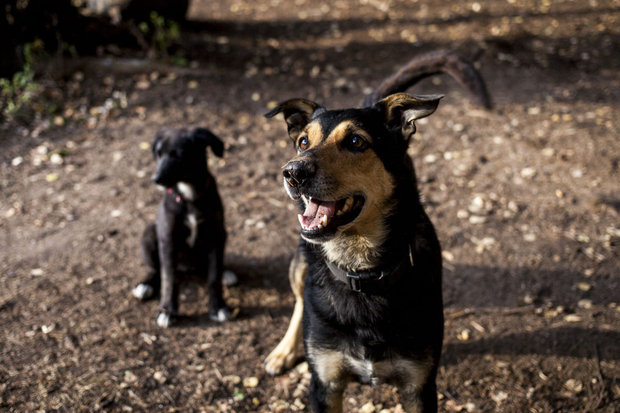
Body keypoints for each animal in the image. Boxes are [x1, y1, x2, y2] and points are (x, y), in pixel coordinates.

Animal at [132, 127, 236, 326]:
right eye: (158, 154)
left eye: (178, 155)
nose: (155, 179)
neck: (189, 195)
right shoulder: (168, 240)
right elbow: (169, 279)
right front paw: (167, 310)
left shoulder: (216, 235)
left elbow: (214, 276)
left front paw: (218, 307)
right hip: (149, 233)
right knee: (154, 269)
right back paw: (145, 285)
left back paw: (226, 273)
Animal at [264, 50, 492, 410]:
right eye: (302, 142)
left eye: (356, 141)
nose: (292, 172)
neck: (360, 269)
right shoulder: (325, 385)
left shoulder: (419, 386)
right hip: (301, 260)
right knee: (300, 298)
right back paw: (285, 350)